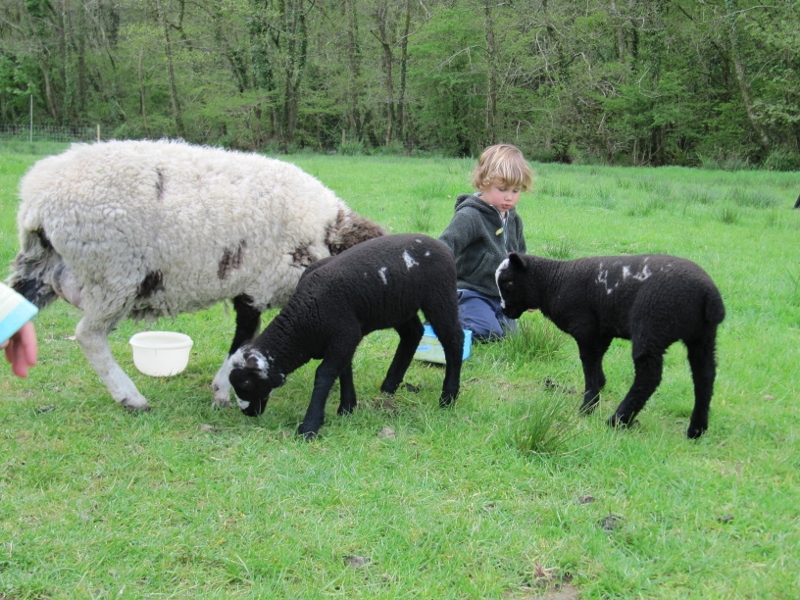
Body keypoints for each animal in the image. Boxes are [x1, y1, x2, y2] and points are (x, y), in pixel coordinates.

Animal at [7, 139, 385, 411]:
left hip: (43, 267)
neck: (326, 234)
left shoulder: (250, 284)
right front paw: (222, 390)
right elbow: (242, 340)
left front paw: (222, 388)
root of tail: (36, 198)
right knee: (88, 335)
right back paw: (131, 397)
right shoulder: (258, 283)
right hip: (112, 274)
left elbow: (245, 338)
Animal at [228, 233, 464, 439]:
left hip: (439, 296)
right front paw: (347, 407)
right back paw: (389, 386)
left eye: (246, 384)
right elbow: (344, 369)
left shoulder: (344, 334)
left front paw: (309, 427)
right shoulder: (345, 339)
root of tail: (441, 245)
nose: (247, 413)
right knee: (413, 334)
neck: (305, 320)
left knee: (453, 340)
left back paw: (448, 397)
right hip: (399, 305)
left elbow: (324, 374)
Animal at [495, 252, 725, 438]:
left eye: (508, 283)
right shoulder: (602, 330)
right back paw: (696, 430)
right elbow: (597, 360)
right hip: (702, 337)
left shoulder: (585, 328)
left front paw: (589, 405)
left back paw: (618, 420)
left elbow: (588, 363)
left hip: (652, 327)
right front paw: (599, 386)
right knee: (704, 376)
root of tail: (709, 295)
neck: (553, 282)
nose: (504, 311)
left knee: (649, 377)